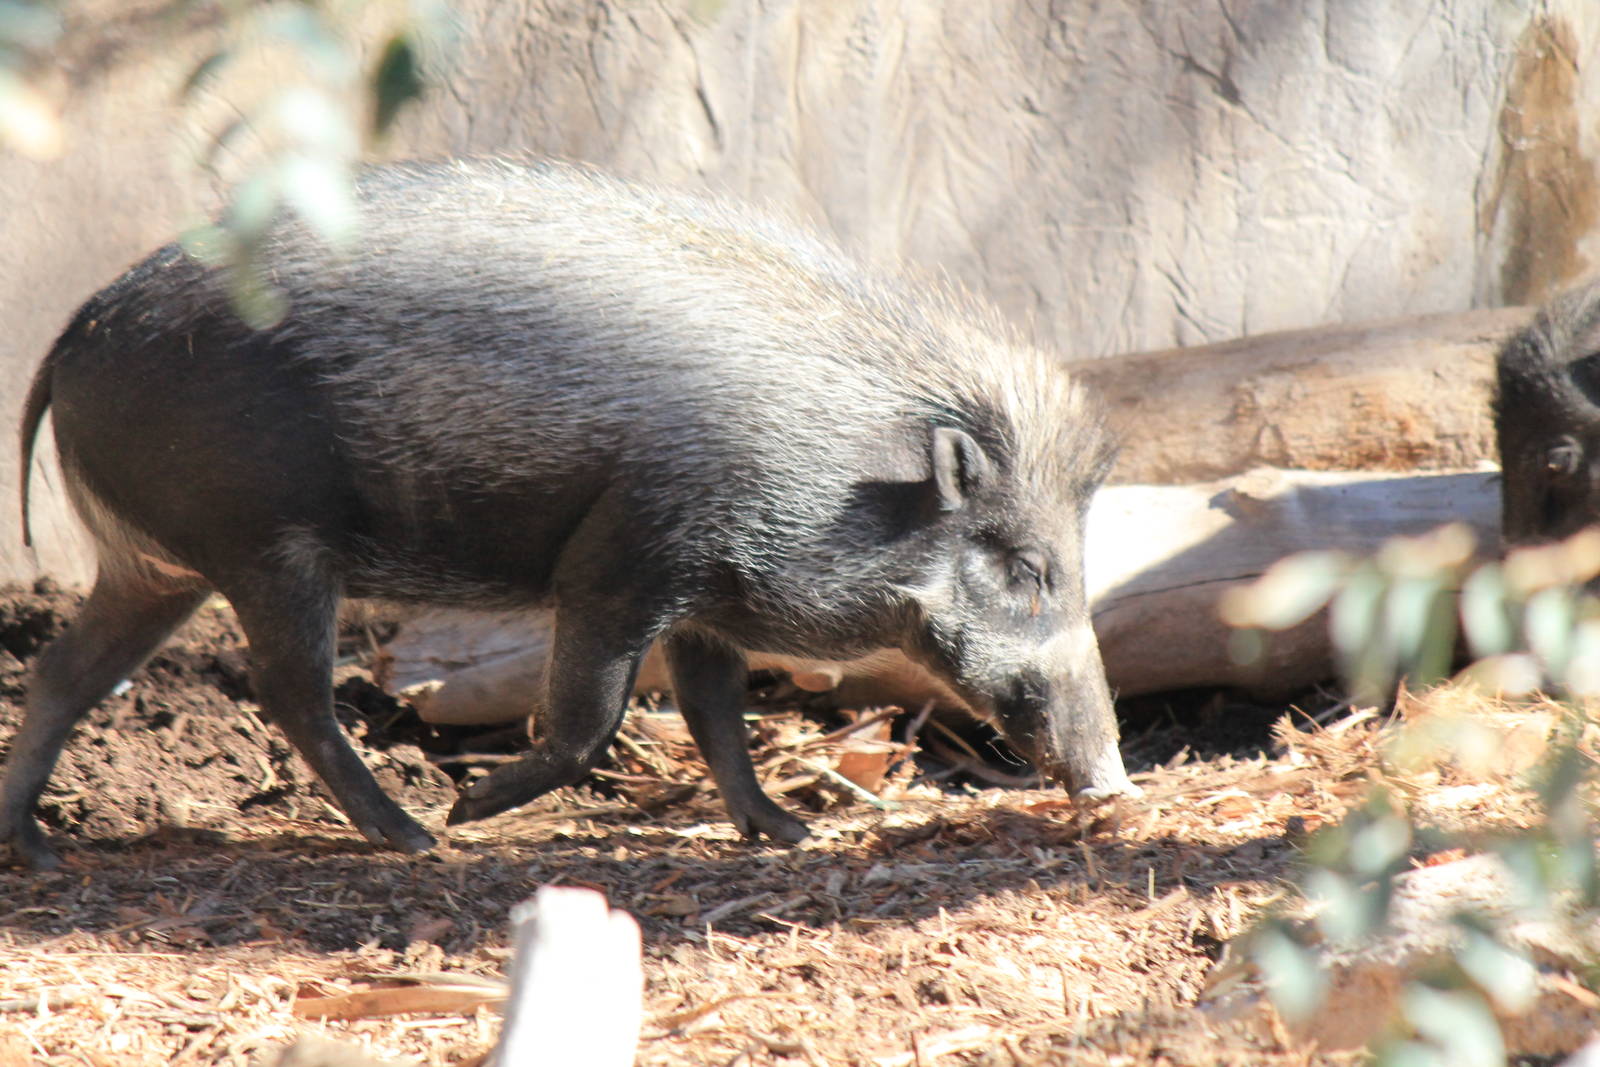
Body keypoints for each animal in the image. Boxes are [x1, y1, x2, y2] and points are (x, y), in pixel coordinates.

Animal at [0, 158, 1133, 869]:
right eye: (1030, 566)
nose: (1114, 780)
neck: (841, 469)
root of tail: (78, 330)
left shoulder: (705, 601)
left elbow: (717, 718)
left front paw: (787, 834)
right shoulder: (624, 557)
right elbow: (591, 718)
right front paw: (472, 806)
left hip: (158, 566)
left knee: (63, 671)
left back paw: (35, 844)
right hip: (267, 550)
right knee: (290, 691)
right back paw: (417, 834)